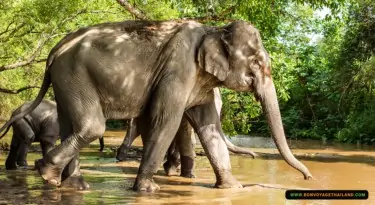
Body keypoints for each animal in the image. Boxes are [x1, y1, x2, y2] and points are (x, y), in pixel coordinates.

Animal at [0, 20, 312, 191]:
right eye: (258, 62)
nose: (308, 176)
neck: (213, 30)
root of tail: (55, 50)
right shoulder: (178, 70)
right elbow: (166, 121)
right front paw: (148, 189)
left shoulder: (199, 81)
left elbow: (209, 129)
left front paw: (233, 188)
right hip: (74, 75)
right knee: (92, 126)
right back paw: (46, 172)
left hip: (66, 81)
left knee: (71, 126)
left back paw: (73, 185)